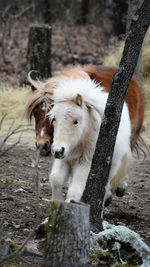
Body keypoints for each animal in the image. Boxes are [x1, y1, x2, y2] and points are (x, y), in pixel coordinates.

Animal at [48, 76, 131, 204]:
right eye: (54, 119)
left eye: (76, 121)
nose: (57, 150)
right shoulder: (65, 158)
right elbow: (56, 178)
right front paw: (57, 201)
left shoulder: (86, 162)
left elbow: (76, 187)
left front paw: (71, 202)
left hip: (113, 164)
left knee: (107, 181)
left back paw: (107, 197)